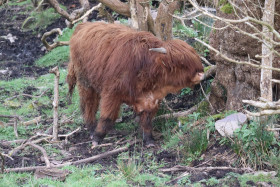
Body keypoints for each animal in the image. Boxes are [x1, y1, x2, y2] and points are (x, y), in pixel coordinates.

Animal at [67, 21, 205, 147]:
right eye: (182, 64)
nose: (201, 74)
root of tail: (83, 25)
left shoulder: (150, 100)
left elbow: (147, 121)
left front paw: (149, 140)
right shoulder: (112, 93)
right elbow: (107, 117)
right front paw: (97, 138)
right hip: (85, 81)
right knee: (89, 104)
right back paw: (91, 129)